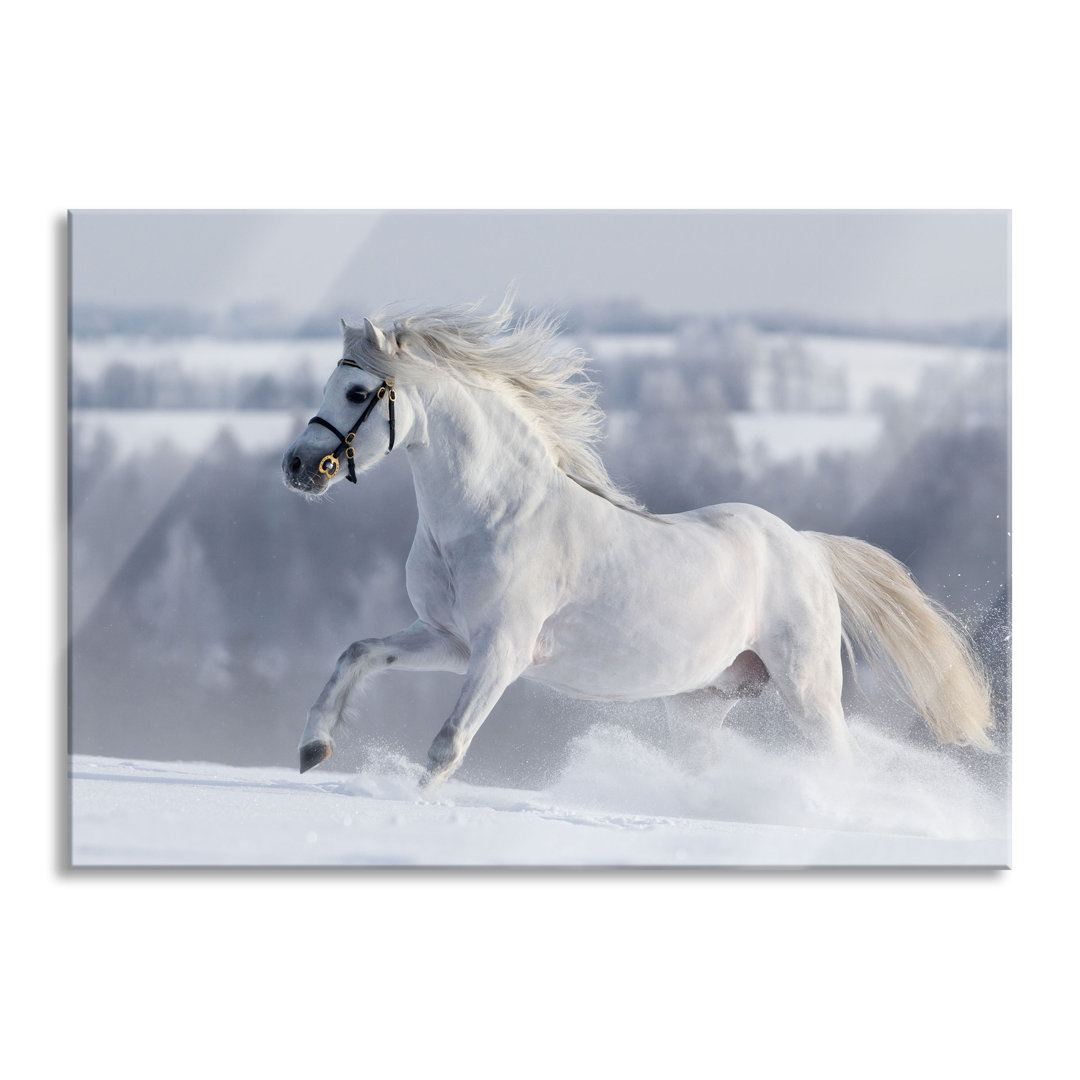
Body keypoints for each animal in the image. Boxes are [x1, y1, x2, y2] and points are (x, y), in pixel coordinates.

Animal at [280, 302, 993, 786]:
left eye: (356, 390)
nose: (298, 466)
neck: (491, 517)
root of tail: (807, 550)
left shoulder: (503, 651)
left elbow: (448, 745)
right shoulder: (451, 641)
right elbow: (357, 653)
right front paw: (313, 750)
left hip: (810, 693)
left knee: (838, 765)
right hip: (703, 702)